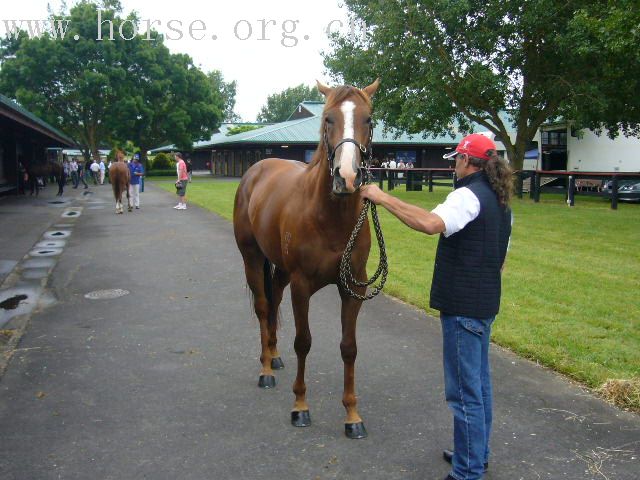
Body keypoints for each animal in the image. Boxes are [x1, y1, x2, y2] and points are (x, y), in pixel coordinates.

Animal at [232, 79, 378, 438]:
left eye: (368, 119)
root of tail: (257, 169)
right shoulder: (302, 286)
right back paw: (266, 370)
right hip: (252, 259)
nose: (346, 177)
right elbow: (303, 342)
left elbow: (349, 347)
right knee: (263, 308)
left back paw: (274, 355)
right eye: (328, 119)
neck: (330, 217)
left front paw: (352, 414)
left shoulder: (352, 288)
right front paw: (300, 406)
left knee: (273, 302)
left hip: (281, 270)